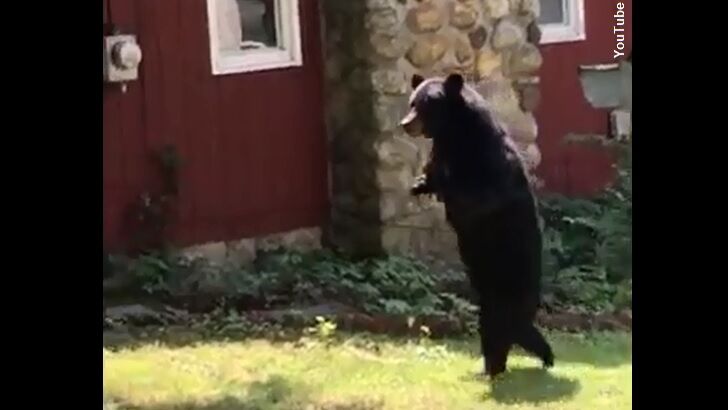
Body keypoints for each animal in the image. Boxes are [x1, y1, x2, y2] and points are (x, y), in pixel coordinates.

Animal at [401, 73, 554, 379]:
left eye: (425, 104)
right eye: (412, 102)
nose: (405, 123)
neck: (454, 134)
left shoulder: (487, 163)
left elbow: (476, 197)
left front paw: (442, 184)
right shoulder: (442, 150)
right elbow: (432, 172)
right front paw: (419, 183)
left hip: (509, 284)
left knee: (506, 330)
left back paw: (517, 363)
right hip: (489, 296)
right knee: (498, 331)